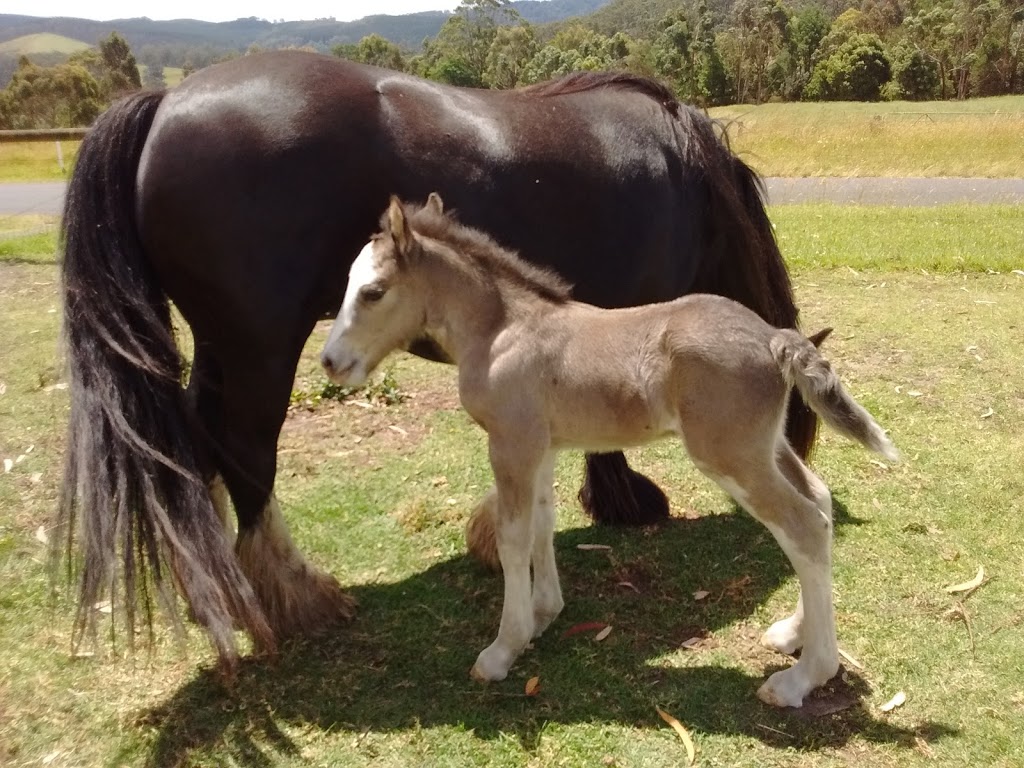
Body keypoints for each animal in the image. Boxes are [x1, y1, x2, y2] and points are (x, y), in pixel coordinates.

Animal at [58, 51, 815, 663]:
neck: (685, 171)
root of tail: (164, 103)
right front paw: (615, 504)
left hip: (220, 346)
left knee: (192, 449)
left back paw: (221, 587)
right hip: (259, 351)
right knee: (242, 447)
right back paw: (297, 594)